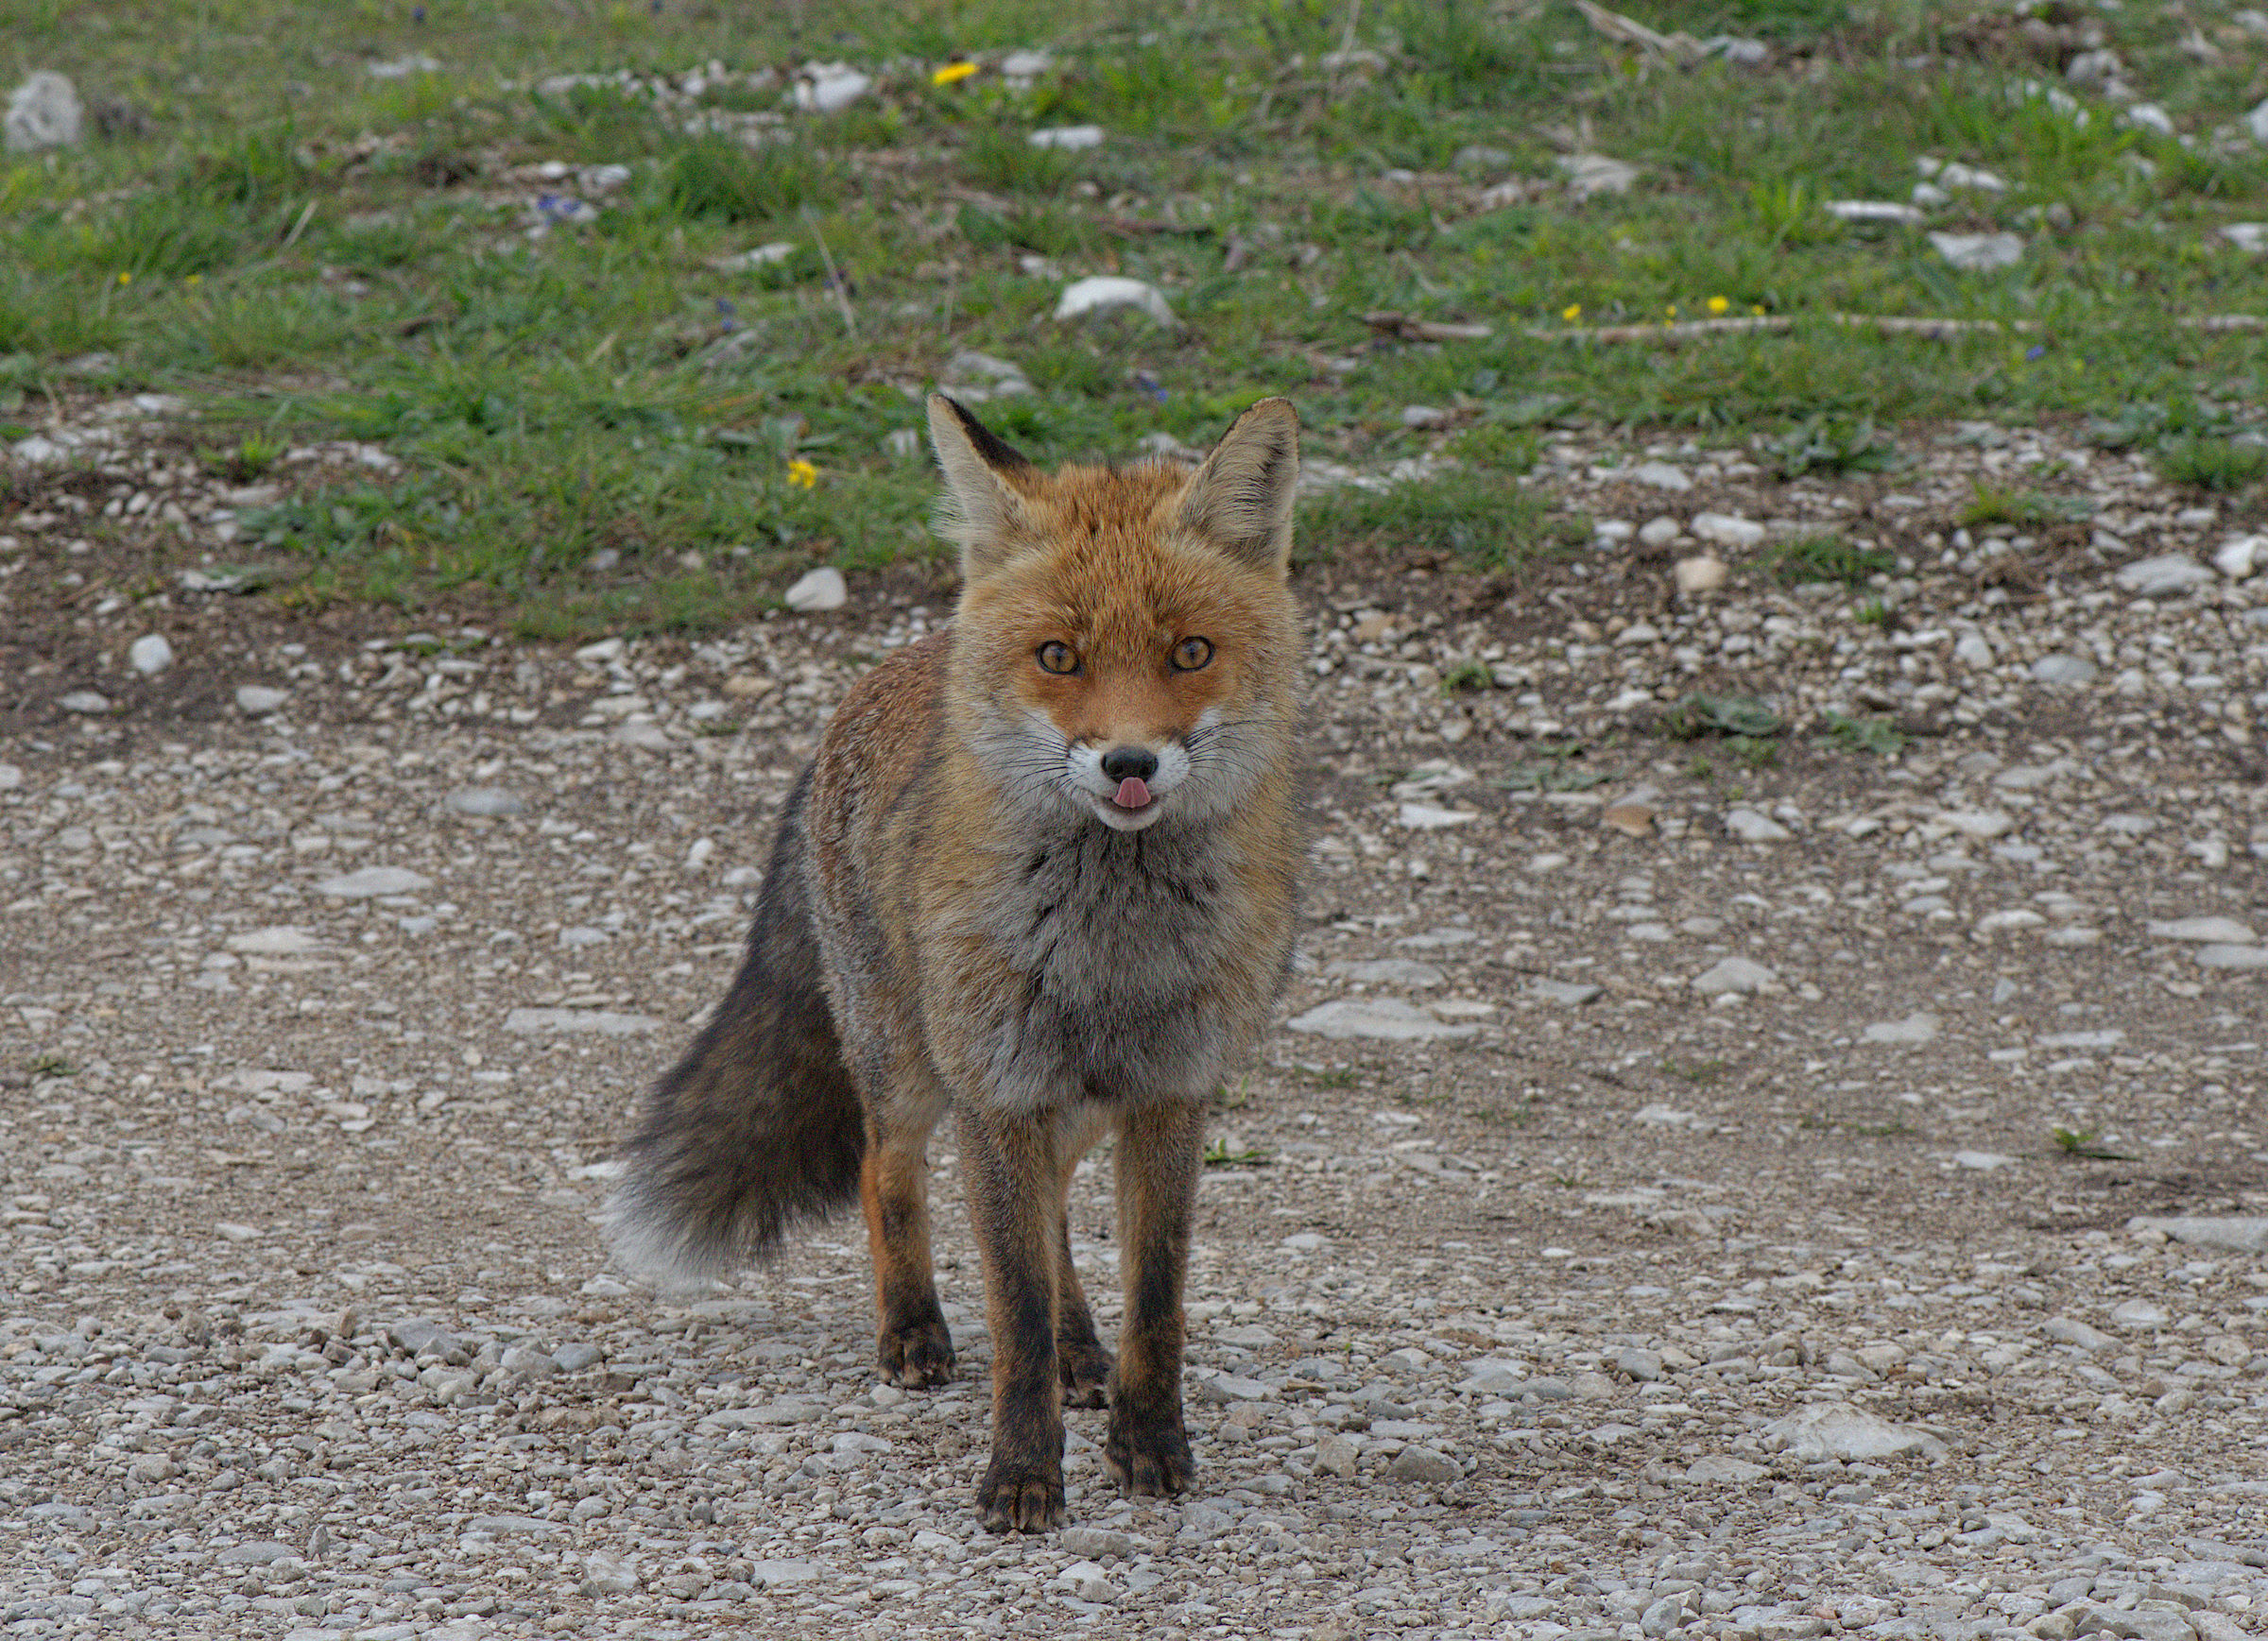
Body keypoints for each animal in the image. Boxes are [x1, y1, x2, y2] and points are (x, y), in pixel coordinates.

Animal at [605, 392, 1307, 1533]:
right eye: (1059, 657)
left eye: (1191, 651)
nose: (1129, 762)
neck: (1109, 948)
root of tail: (901, 661)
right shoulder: (1000, 1092)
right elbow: (1012, 1312)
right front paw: (1022, 1472)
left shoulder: (1169, 1094)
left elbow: (1155, 1302)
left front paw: (1150, 1444)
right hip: (914, 1063)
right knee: (882, 1167)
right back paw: (914, 1330)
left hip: (1051, 1102)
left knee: (1056, 1220)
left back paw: (1081, 1352)